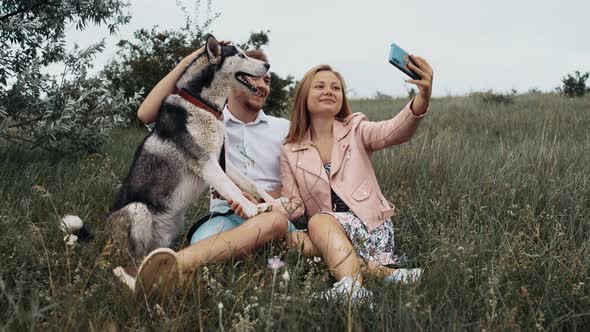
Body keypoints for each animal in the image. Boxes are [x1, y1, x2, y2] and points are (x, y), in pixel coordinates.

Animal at [106, 35, 272, 264]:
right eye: (241, 55)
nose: (268, 66)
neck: (203, 104)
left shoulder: (221, 160)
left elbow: (251, 185)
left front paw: (277, 202)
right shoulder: (206, 163)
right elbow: (232, 188)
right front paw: (253, 209)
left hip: (174, 226)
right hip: (137, 210)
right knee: (131, 259)